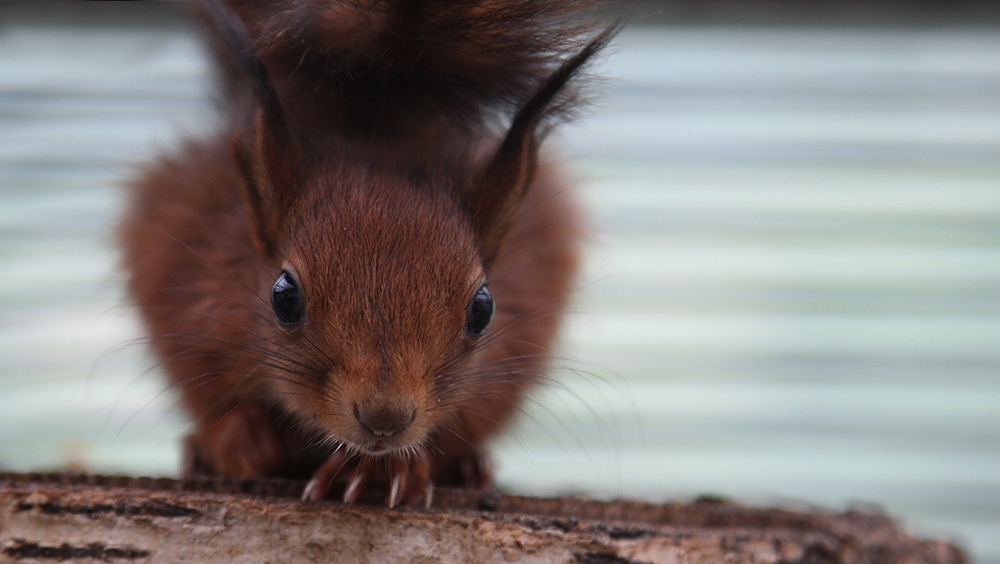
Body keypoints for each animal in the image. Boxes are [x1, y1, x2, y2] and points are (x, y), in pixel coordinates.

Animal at [120, 0, 612, 508]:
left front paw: (387, 467)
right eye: (284, 297)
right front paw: (245, 435)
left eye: (483, 309)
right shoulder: (191, 294)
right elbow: (213, 399)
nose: (385, 420)